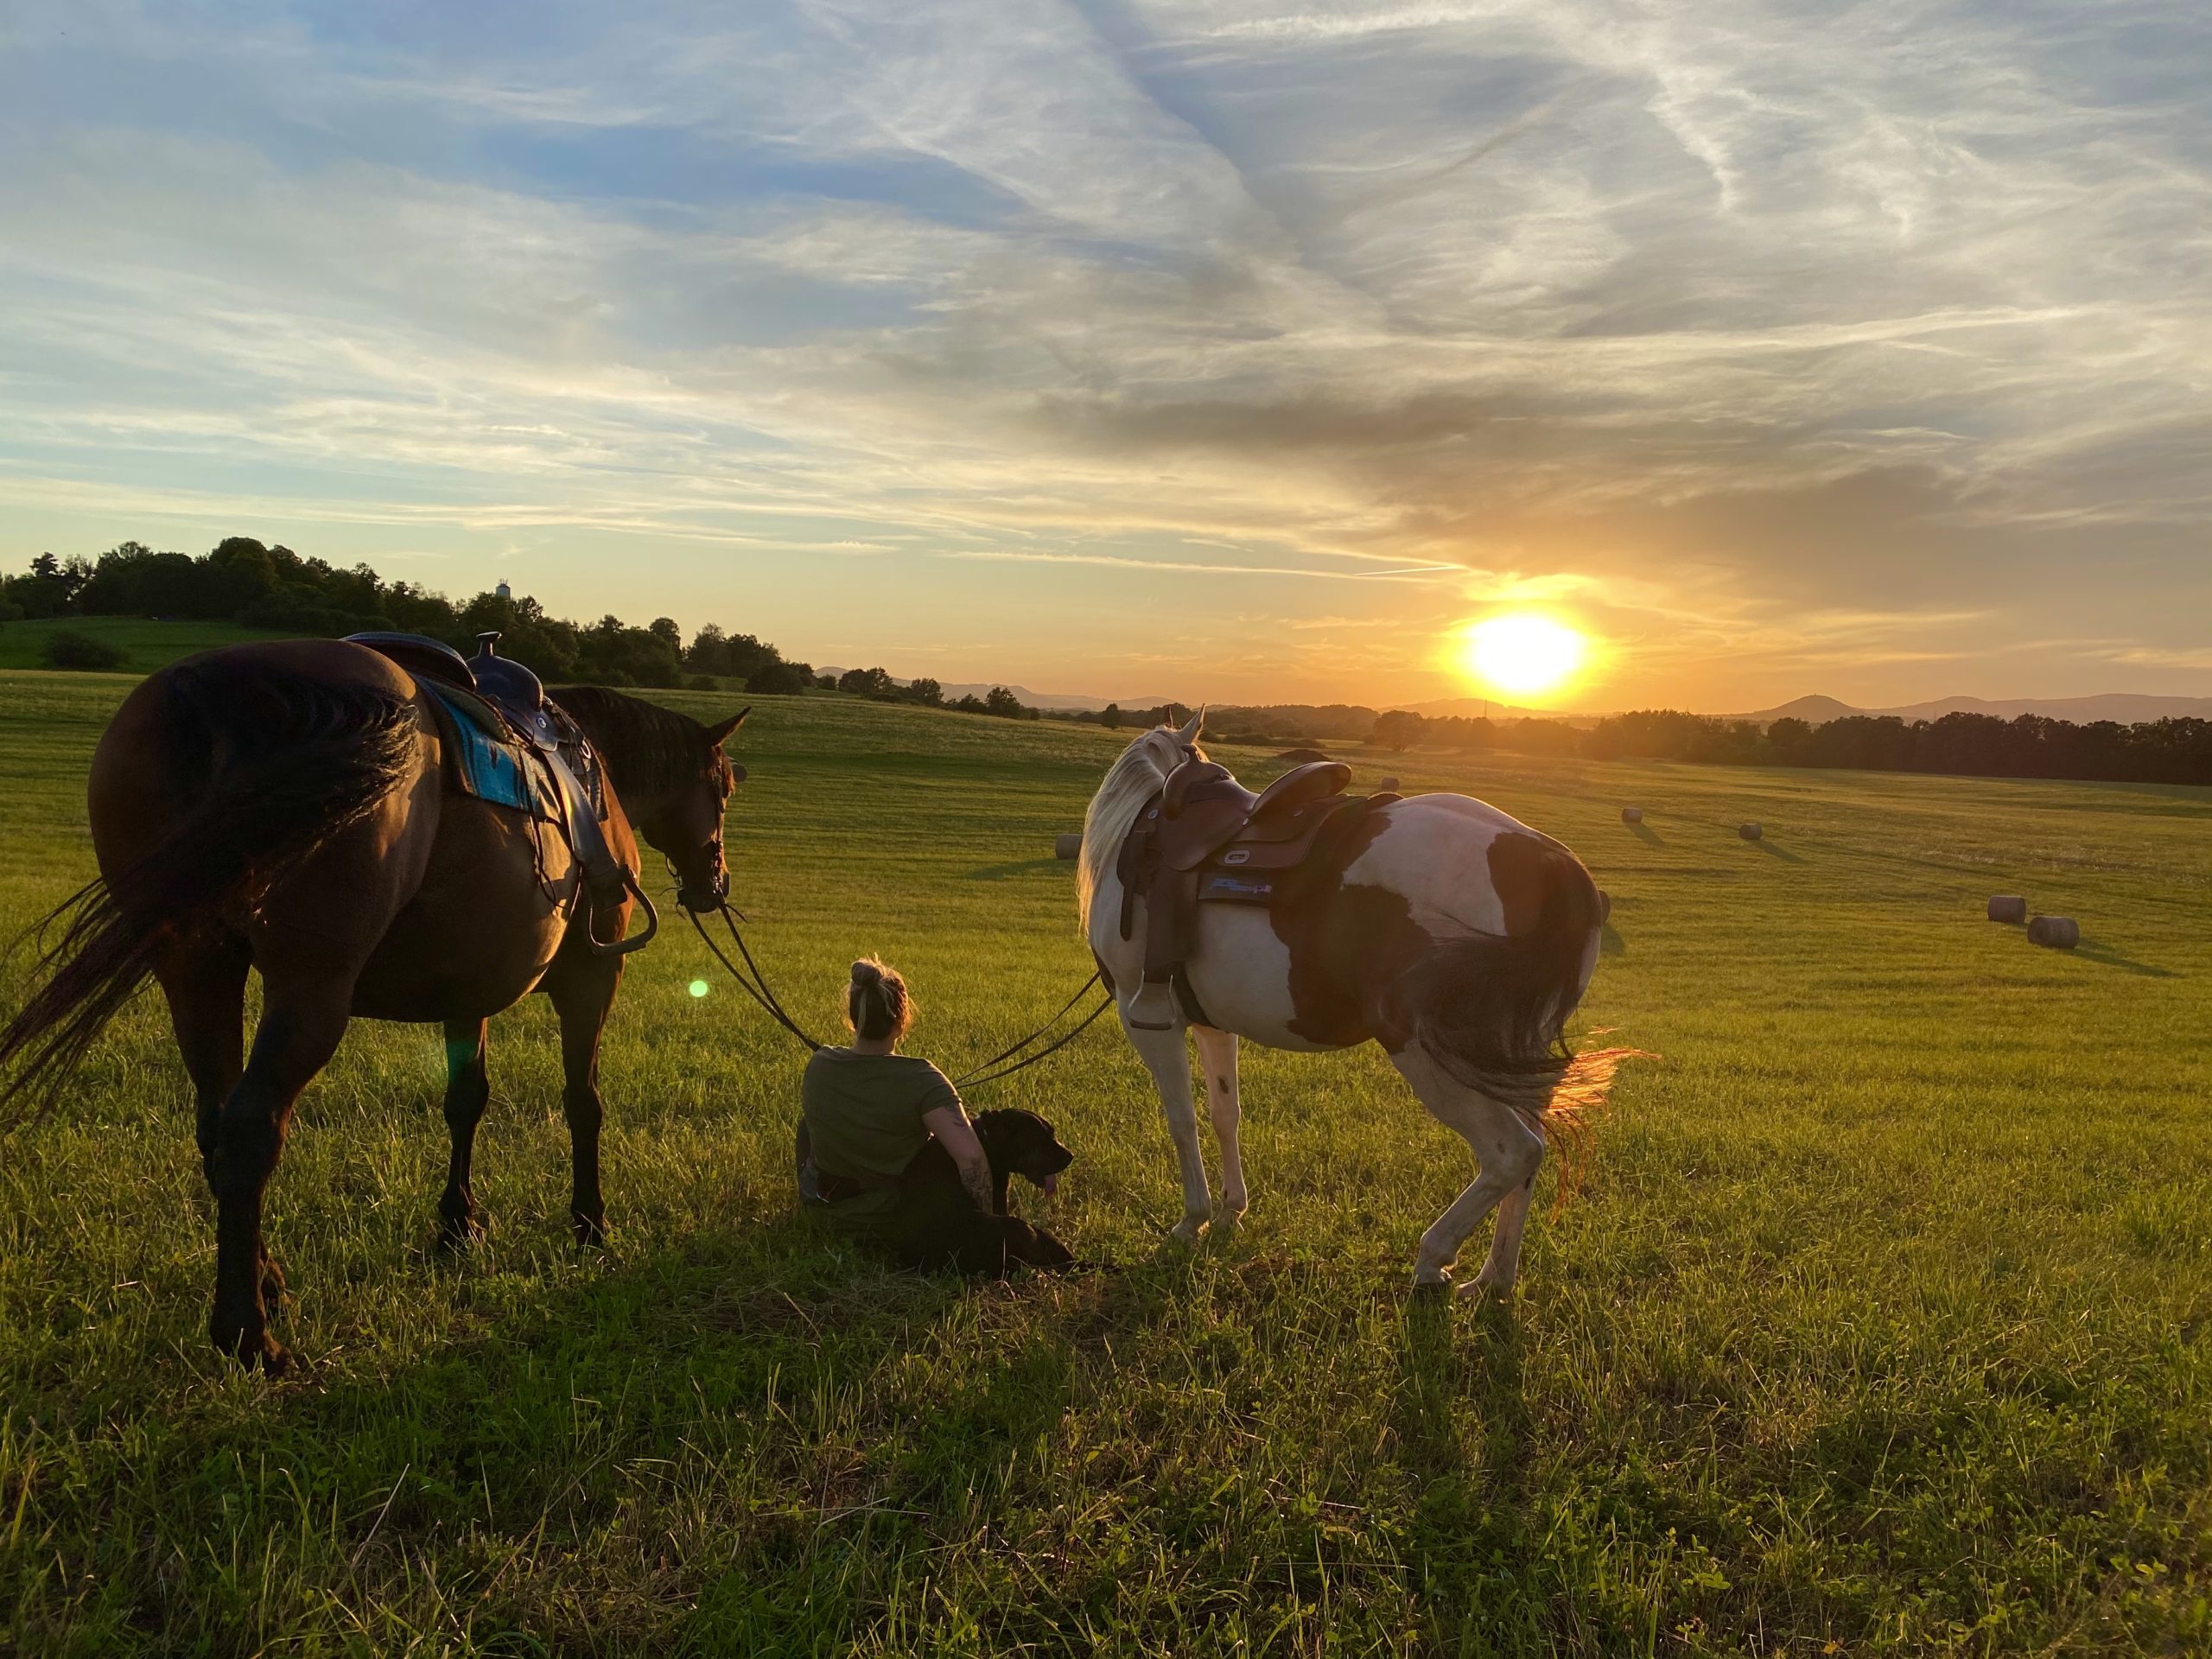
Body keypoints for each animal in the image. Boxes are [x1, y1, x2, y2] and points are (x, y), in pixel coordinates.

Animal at [0, 641, 752, 1371]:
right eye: (723, 788)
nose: (715, 882)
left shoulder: (467, 988)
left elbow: (465, 1100)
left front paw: (459, 1224)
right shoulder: (593, 979)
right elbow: (583, 1102)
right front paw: (590, 1225)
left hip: (195, 971)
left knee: (214, 1127)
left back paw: (267, 1282)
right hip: (310, 990)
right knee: (248, 1134)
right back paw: (250, 1335)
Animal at [1079, 716, 1637, 1300]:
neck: (1143, 835)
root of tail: (1556, 866)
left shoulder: (1147, 1020)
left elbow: (1181, 1119)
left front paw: (1193, 1220)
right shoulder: (1214, 1026)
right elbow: (1223, 1114)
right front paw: (1232, 1209)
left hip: (1427, 1051)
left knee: (1514, 1151)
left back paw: (1433, 1257)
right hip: (1508, 1054)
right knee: (1530, 1153)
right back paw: (1493, 1279)